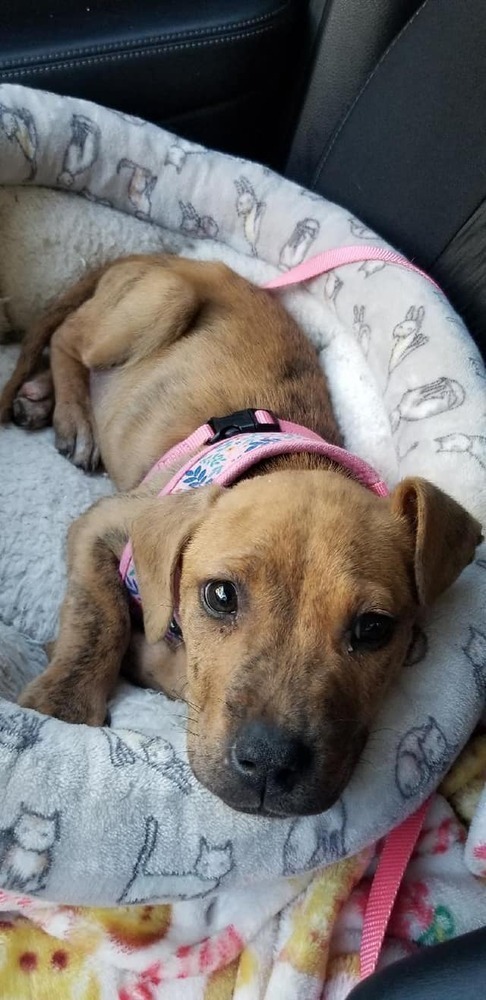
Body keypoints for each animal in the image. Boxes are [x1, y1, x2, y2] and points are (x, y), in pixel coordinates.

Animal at [0, 254, 482, 816]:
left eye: (373, 629)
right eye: (220, 596)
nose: (271, 765)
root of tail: (168, 256)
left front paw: (150, 663)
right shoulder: (105, 523)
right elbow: (98, 616)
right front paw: (64, 705)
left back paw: (40, 397)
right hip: (165, 300)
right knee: (68, 338)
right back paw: (71, 413)